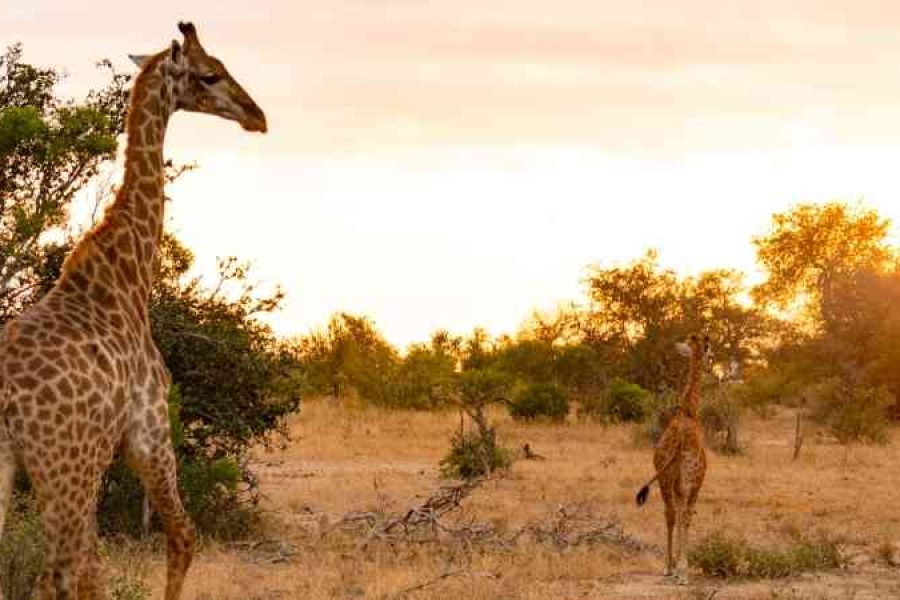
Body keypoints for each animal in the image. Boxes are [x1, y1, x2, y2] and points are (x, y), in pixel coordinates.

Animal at [0, 22, 266, 600]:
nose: (257, 116)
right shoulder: (150, 431)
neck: (126, 277)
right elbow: (182, 536)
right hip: (65, 467)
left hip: (24, 467)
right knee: (59, 572)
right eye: (210, 73)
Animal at [636, 334, 711, 585]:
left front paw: (675, 567)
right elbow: (686, 516)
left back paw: (669, 567)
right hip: (687, 477)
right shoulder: (696, 481)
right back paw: (681, 572)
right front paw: (683, 569)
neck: (689, 410)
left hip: (665, 478)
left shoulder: (673, 480)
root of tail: (678, 440)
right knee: (682, 514)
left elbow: (676, 513)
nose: (711, 366)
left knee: (669, 513)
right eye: (711, 353)